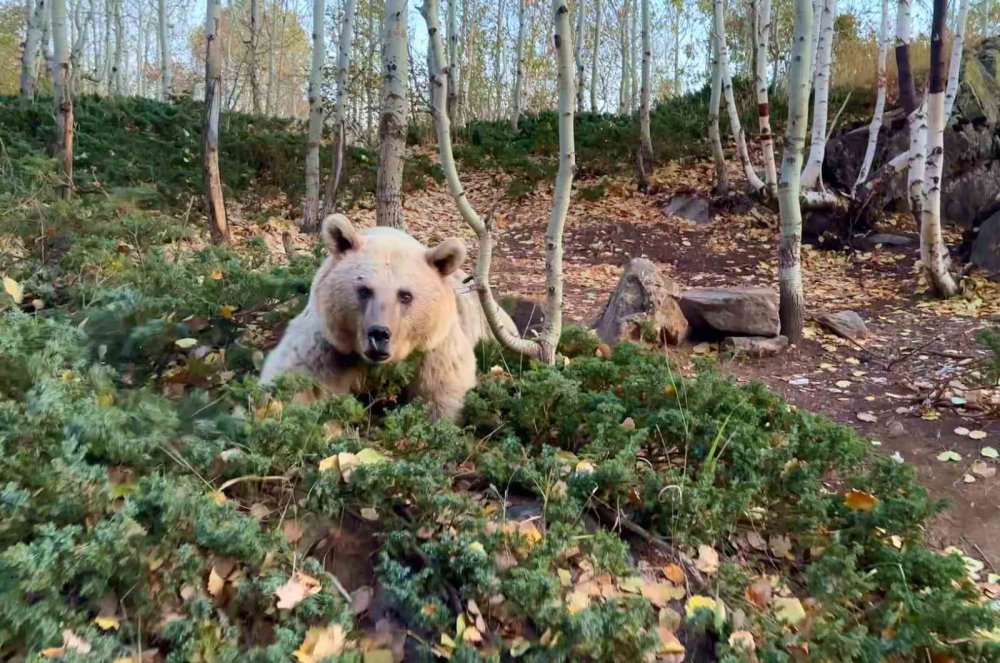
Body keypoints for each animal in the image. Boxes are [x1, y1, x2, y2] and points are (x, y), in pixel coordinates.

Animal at [262, 213, 480, 420]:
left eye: (405, 295)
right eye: (364, 290)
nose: (379, 334)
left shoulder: (432, 349)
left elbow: (442, 392)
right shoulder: (327, 345)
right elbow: (294, 377)